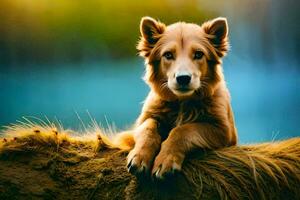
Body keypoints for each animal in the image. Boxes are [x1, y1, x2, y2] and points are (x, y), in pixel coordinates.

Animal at [124, 16, 237, 179]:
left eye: (198, 54)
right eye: (168, 55)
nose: (183, 78)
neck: (182, 103)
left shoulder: (223, 131)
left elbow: (183, 130)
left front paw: (166, 160)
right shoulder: (144, 119)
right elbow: (148, 126)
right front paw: (139, 156)